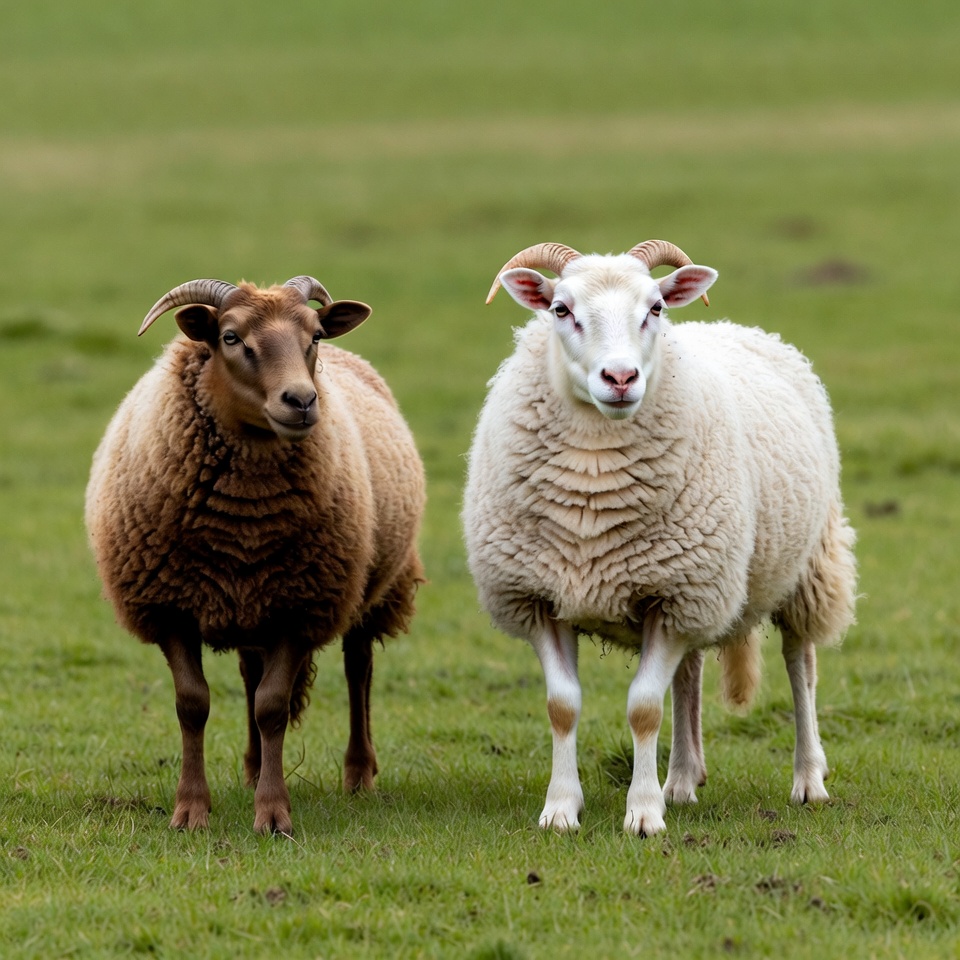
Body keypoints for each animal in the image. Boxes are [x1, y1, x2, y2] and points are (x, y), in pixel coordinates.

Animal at [85, 275, 425, 834]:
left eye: (314, 335)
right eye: (229, 337)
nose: (302, 400)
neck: (243, 518)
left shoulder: (300, 606)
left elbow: (272, 707)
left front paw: (272, 813)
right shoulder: (171, 607)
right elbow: (193, 704)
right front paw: (190, 810)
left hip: (368, 587)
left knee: (358, 670)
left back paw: (358, 773)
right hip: (248, 601)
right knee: (251, 674)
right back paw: (251, 767)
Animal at [462, 240, 857, 836]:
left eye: (655, 307)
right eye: (560, 309)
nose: (620, 378)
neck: (592, 488)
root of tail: (738, 327)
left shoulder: (673, 596)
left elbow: (644, 707)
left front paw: (643, 814)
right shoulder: (545, 598)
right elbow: (563, 706)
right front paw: (561, 809)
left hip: (803, 566)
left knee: (800, 666)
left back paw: (809, 779)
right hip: (689, 586)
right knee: (689, 675)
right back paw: (684, 780)